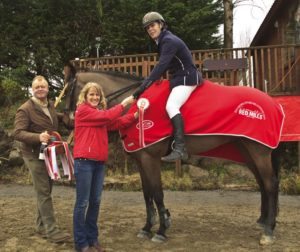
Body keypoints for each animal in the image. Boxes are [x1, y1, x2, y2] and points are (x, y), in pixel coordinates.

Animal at [63, 69, 282, 246]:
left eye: (68, 90)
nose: (65, 121)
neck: (138, 107)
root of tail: (273, 103)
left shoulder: (150, 158)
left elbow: (157, 193)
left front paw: (161, 230)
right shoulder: (141, 160)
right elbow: (147, 193)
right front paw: (147, 227)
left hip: (258, 151)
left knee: (270, 184)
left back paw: (269, 231)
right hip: (246, 150)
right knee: (262, 183)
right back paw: (263, 221)